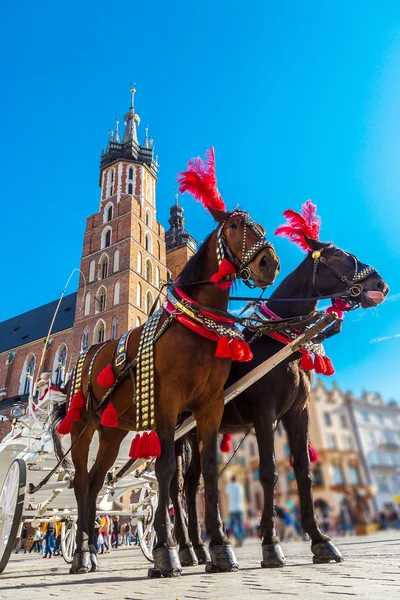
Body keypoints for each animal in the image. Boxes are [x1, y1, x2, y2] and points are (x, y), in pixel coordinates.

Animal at [51, 149, 280, 576]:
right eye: (236, 225)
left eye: (258, 226)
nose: (269, 264)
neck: (196, 326)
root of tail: (88, 353)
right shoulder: (168, 404)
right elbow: (166, 471)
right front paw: (166, 552)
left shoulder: (209, 406)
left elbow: (206, 473)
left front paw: (219, 548)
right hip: (82, 427)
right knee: (81, 482)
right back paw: (82, 554)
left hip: (112, 431)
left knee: (96, 481)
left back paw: (89, 553)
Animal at [171, 202, 388, 568]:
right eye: (341, 256)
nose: (382, 284)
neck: (281, 341)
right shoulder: (265, 414)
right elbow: (269, 471)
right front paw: (270, 544)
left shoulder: (297, 414)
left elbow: (303, 472)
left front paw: (320, 539)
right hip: (177, 432)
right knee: (173, 486)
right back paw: (183, 547)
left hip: (198, 431)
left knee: (191, 485)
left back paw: (198, 549)